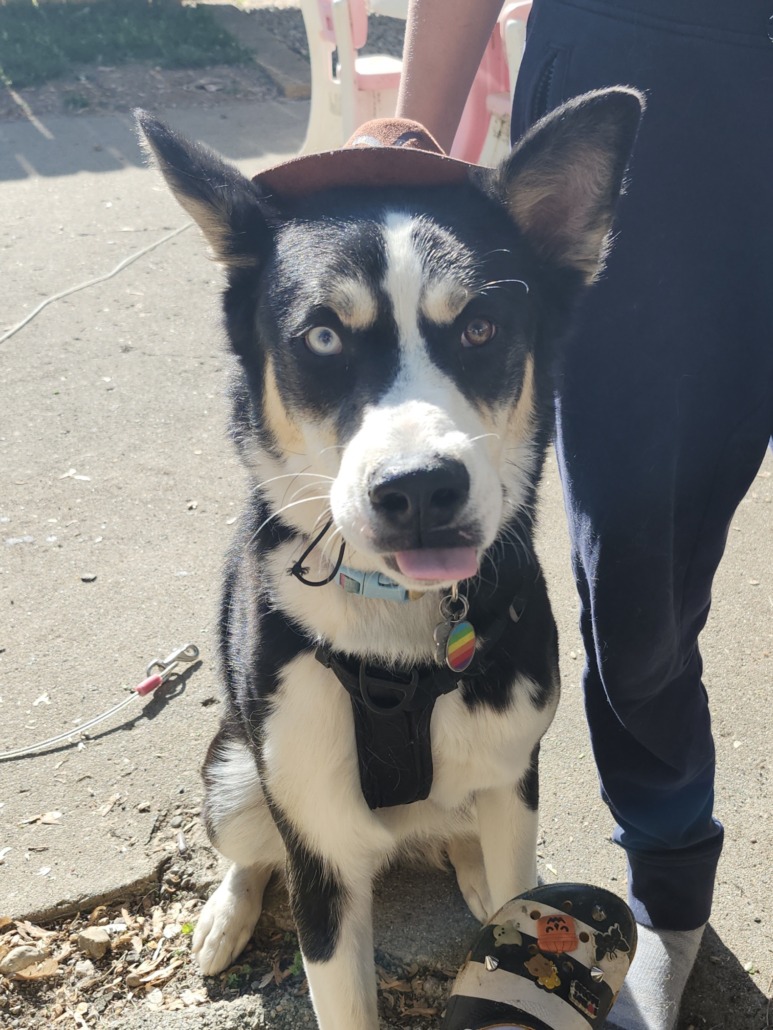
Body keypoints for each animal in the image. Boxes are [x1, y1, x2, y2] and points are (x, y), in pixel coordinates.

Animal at [138, 87, 642, 1030]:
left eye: (481, 327)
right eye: (323, 338)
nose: (419, 490)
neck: (396, 630)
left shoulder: (515, 774)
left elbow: (516, 879)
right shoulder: (319, 849)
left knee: (467, 839)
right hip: (235, 771)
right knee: (247, 848)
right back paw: (224, 915)